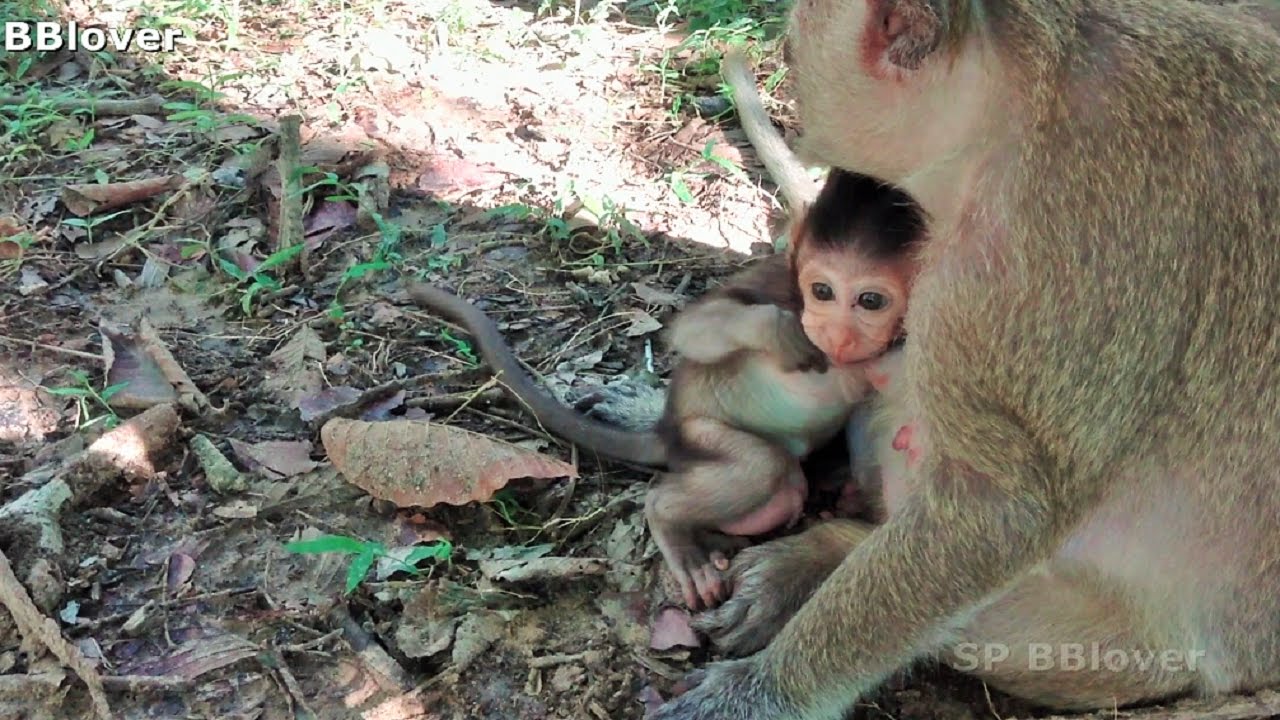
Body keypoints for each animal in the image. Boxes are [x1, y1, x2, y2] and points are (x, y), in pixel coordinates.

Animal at [645, 1, 1280, 719]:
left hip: (1127, 654)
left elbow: (1001, 510)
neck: (1020, 98)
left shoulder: (1027, 255)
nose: (795, 81)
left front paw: (761, 692)